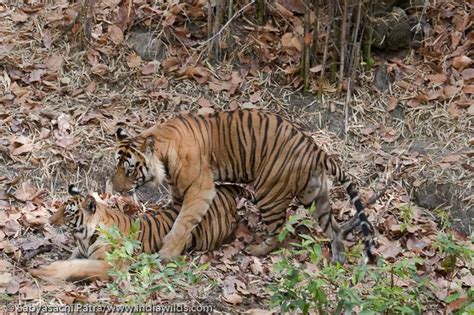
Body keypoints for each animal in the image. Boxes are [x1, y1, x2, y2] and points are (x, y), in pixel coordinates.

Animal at [29, 184, 252, 282]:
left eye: (68, 212)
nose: (49, 221)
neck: (83, 236)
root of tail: (225, 189)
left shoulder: (110, 264)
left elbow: (74, 266)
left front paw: (44, 271)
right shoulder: (80, 251)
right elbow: (72, 260)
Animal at [113, 108, 376, 264]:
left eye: (130, 169)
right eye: (117, 166)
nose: (116, 190)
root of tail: (315, 149)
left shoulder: (200, 190)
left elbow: (183, 222)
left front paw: (167, 253)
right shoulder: (179, 190)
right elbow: (176, 215)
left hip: (269, 192)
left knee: (278, 230)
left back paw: (257, 251)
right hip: (314, 196)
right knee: (333, 226)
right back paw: (338, 257)